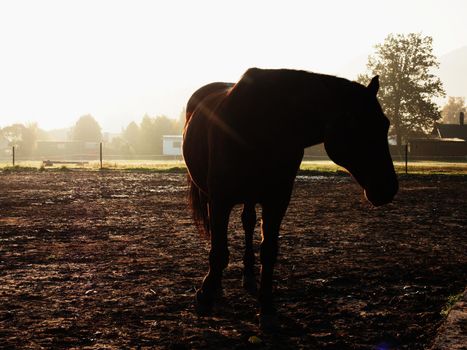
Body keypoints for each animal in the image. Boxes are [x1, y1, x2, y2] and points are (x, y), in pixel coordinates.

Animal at [183, 67, 398, 330]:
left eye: (385, 124)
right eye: (357, 126)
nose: (388, 188)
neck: (262, 125)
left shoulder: (277, 200)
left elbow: (269, 251)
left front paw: (267, 307)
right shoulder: (221, 199)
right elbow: (219, 251)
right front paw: (205, 295)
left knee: (248, 223)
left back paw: (248, 276)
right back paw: (218, 286)